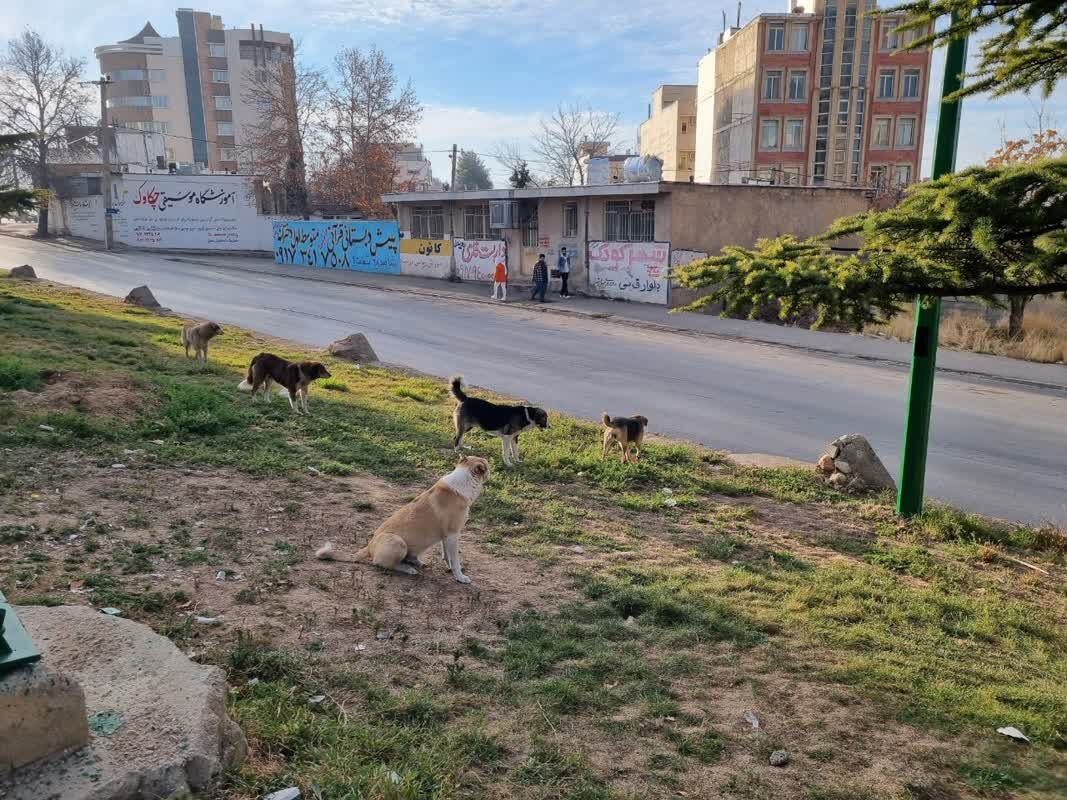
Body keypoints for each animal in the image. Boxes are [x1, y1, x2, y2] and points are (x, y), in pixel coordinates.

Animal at [311, 454, 488, 584]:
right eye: (487, 466)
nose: (491, 468)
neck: (465, 480)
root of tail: (369, 547)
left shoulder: (447, 536)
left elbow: (447, 556)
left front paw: (450, 569)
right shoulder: (452, 535)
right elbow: (455, 560)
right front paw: (460, 577)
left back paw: (415, 562)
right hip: (398, 542)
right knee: (382, 564)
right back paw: (408, 569)